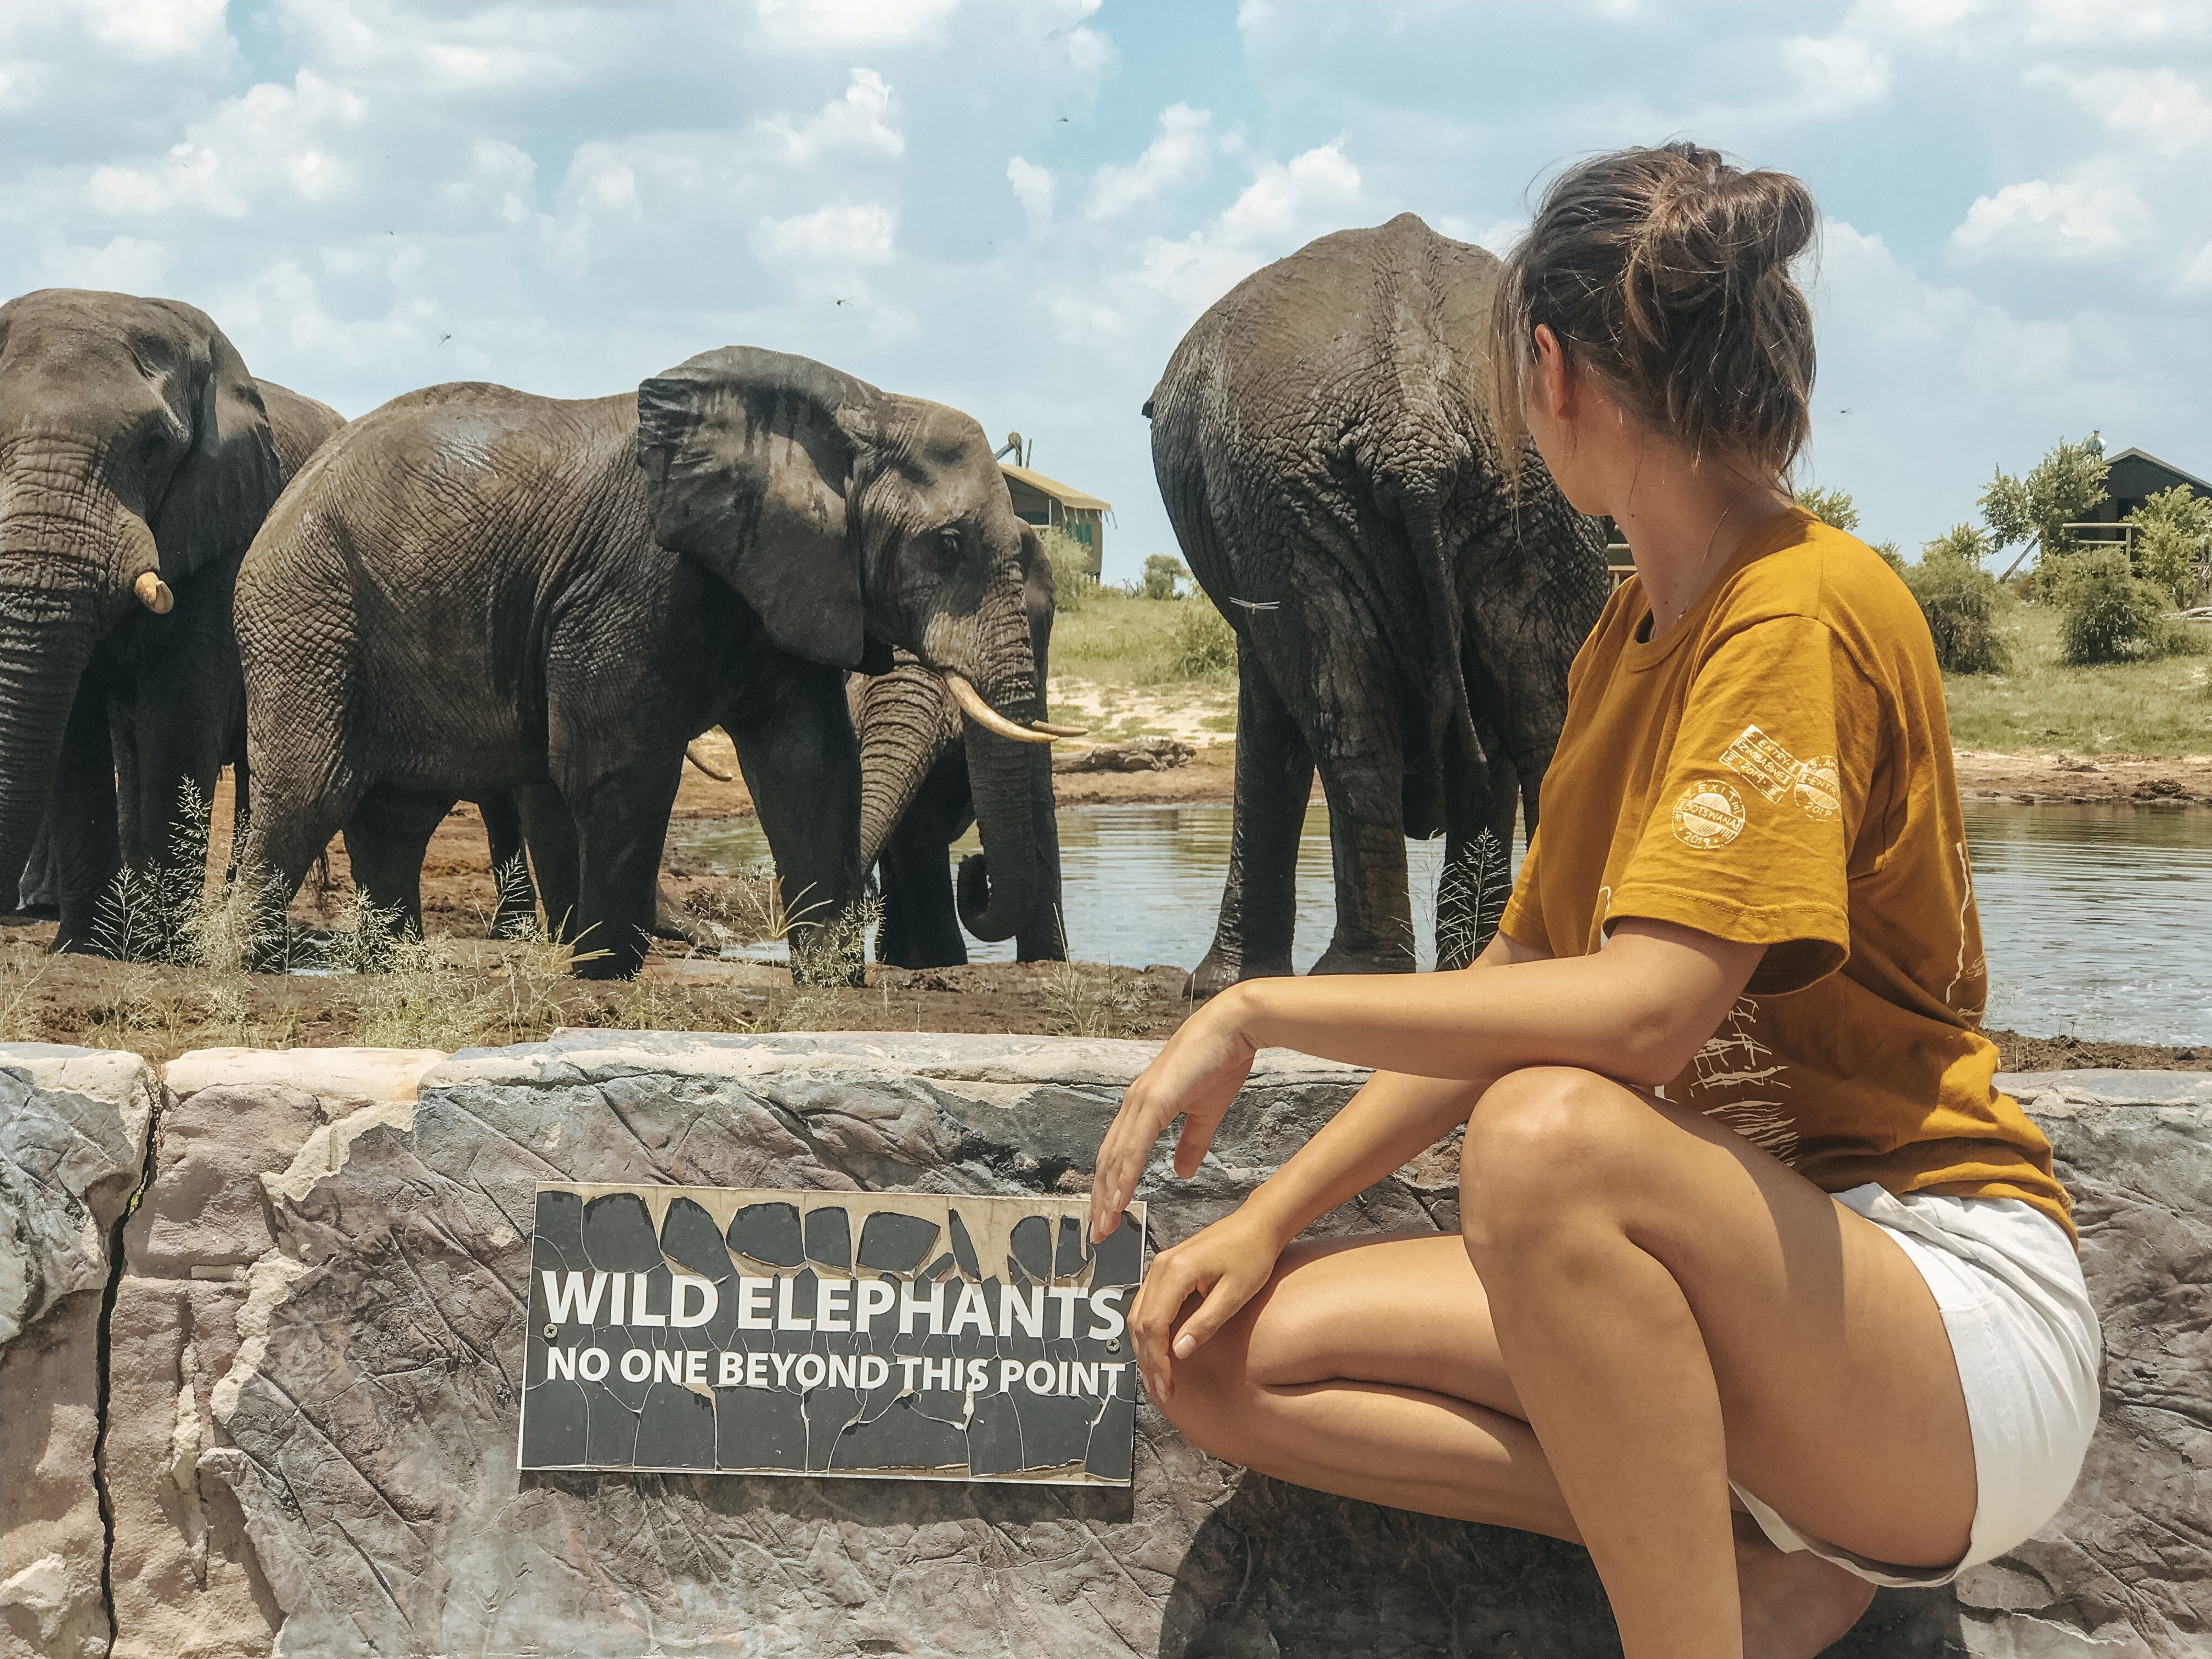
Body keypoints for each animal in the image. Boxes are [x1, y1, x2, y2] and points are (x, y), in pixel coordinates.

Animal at [0, 290, 342, 955]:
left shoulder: (225, 527)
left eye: (154, 447)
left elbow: (180, 708)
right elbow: (72, 723)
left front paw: (158, 948)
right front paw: (89, 946)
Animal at [1141, 212, 1610, 995]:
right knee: (1541, 716)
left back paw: (1355, 976)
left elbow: (1268, 711)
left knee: (1350, 718)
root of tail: (1414, 422)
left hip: (1309, 500)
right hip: (1510, 492)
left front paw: (1212, 990)